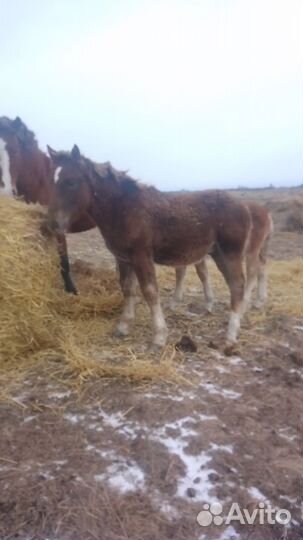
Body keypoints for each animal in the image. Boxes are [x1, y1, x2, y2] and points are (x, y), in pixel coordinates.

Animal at [0, 117, 96, 294]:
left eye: (15, 151)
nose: (5, 192)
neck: (40, 180)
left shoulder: (57, 227)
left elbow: (64, 260)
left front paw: (71, 290)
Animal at [47, 144, 255, 350]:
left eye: (71, 182)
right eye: (53, 181)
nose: (51, 223)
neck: (125, 210)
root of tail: (245, 205)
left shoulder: (141, 255)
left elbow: (149, 291)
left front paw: (159, 338)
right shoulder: (122, 257)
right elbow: (127, 288)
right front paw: (123, 327)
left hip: (230, 253)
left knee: (237, 285)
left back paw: (230, 336)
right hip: (217, 253)